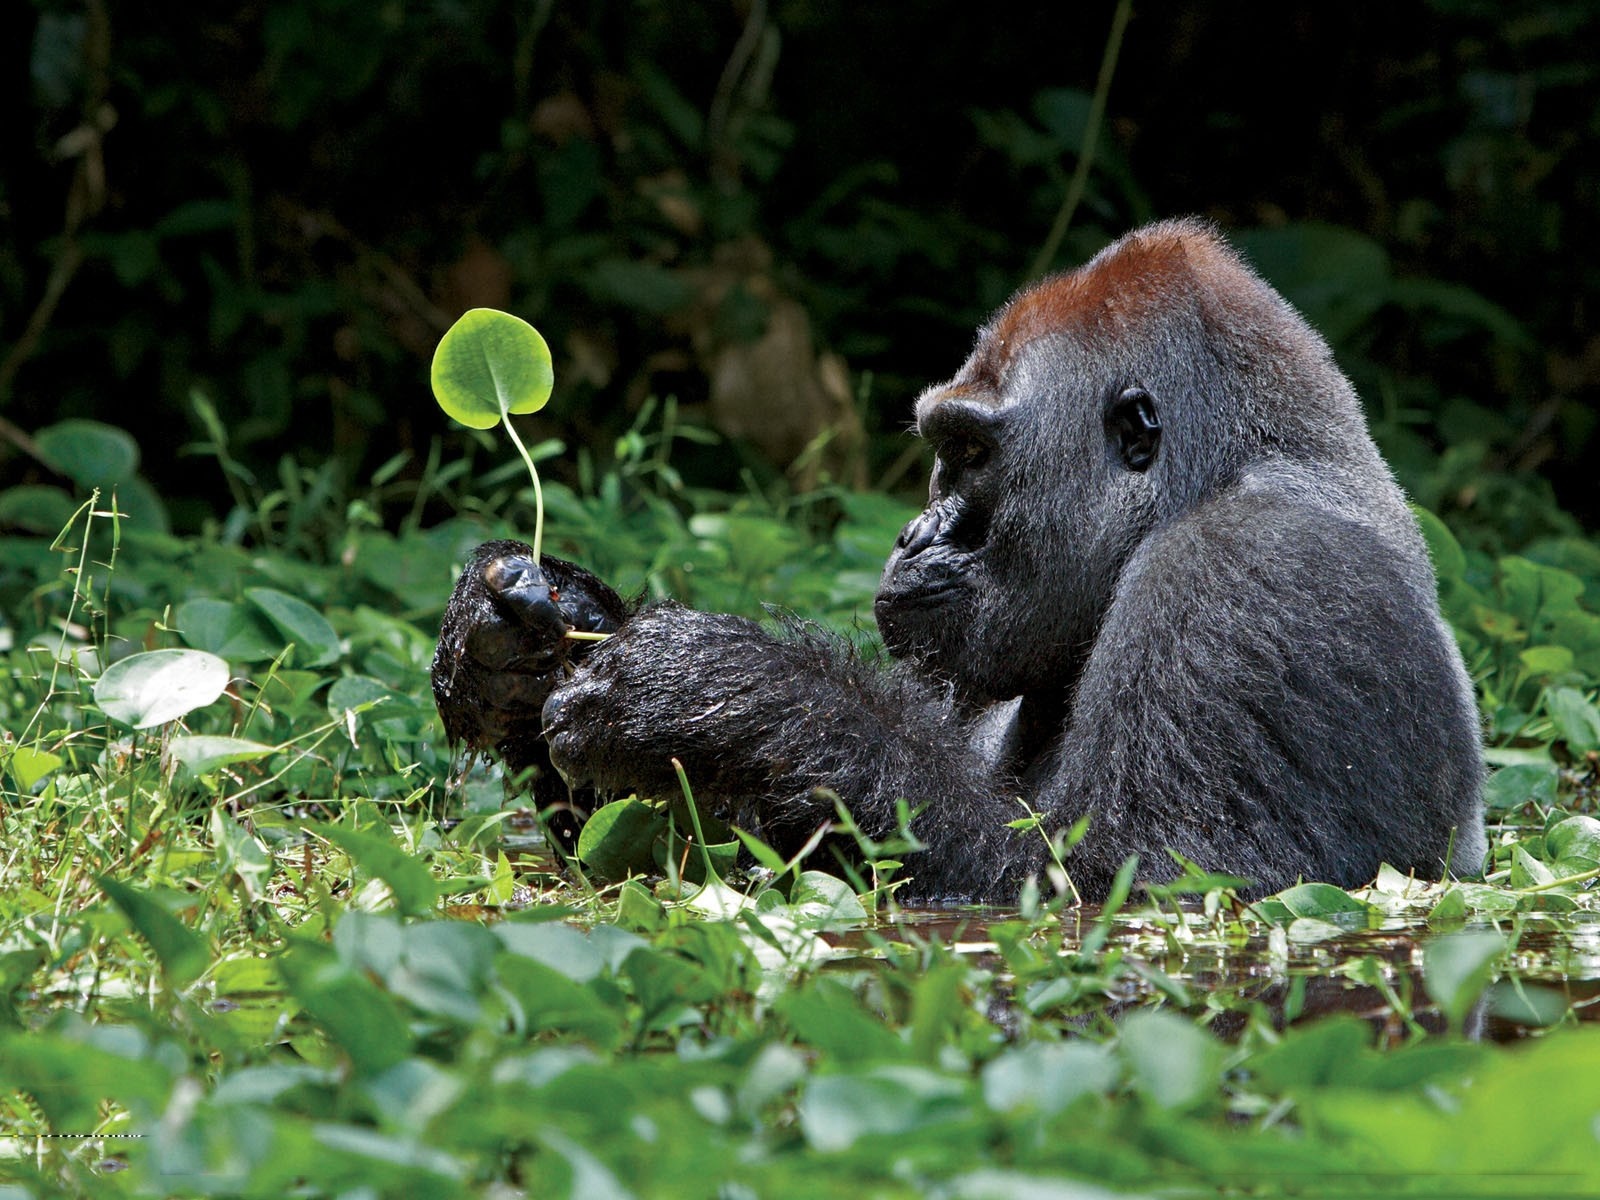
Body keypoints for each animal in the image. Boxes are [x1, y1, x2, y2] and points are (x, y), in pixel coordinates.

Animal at [432, 218, 1487, 902]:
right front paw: (518, 641)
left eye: (972, 454)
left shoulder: (1252, 575)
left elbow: (1122, 883)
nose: (913, 534)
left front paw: (719, 691)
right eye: (946, 448)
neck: (1218, 474)